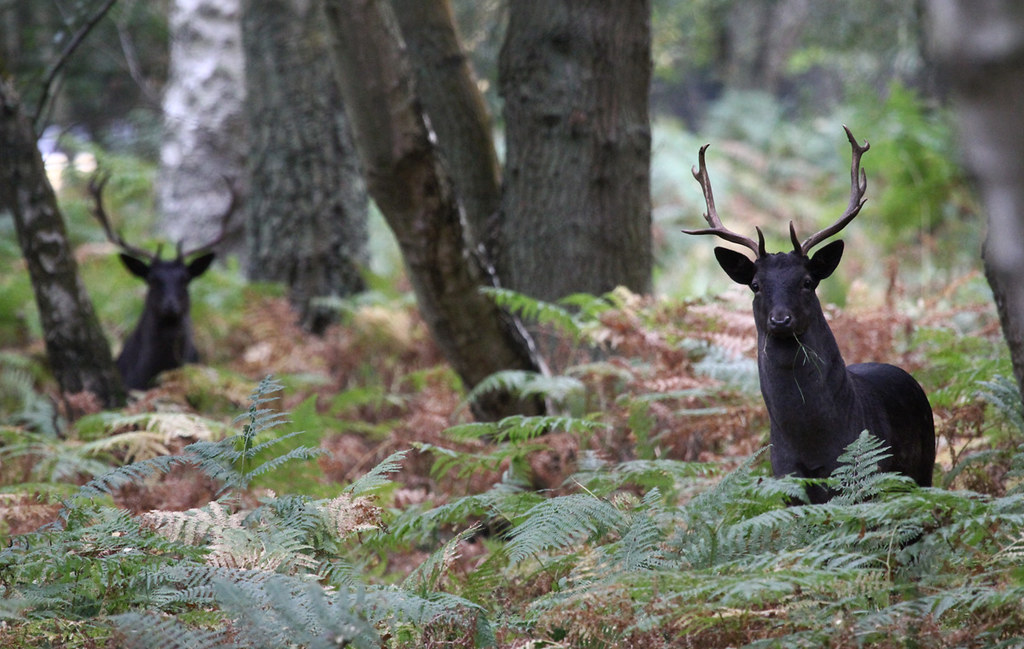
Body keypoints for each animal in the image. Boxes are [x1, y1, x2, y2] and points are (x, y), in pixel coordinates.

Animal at [683, 126, 935, 503]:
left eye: (806, 282)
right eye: (756, 285)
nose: (780, 320)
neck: (813, 444)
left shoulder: (863, 483)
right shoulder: (784, 478)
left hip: (925, 468)